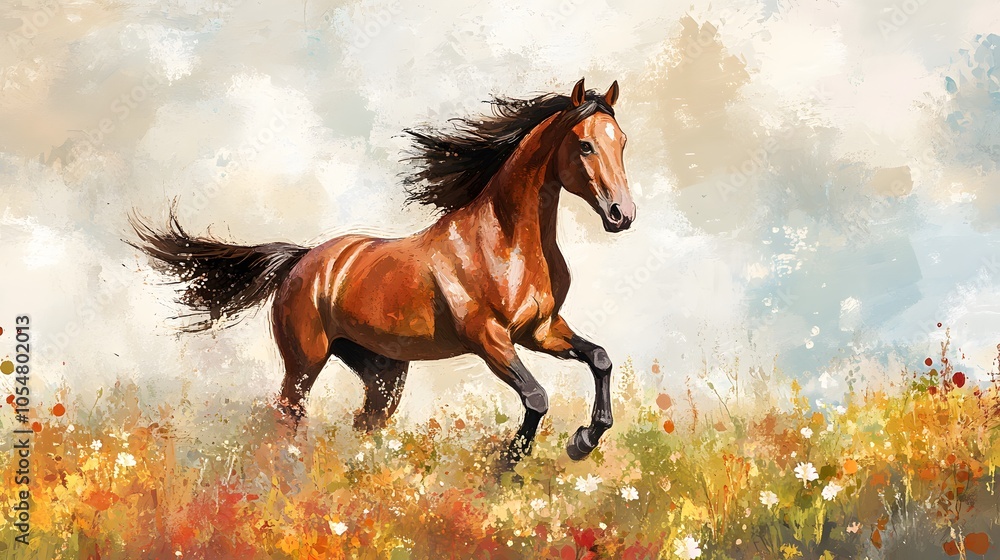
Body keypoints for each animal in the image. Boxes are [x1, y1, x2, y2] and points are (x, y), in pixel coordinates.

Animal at [130, 78, 636, 472]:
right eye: (585, 144)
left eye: (623, 142)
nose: (622, 214)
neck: (506, 242)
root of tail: (303, 260)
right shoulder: (489, 337)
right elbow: (536, 396)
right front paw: (508, 464)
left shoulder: (541, 330)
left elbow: (600, 358)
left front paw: (584, 439)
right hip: (304, 361)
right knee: (289, 415)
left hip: (382, 371)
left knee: (365, 422)